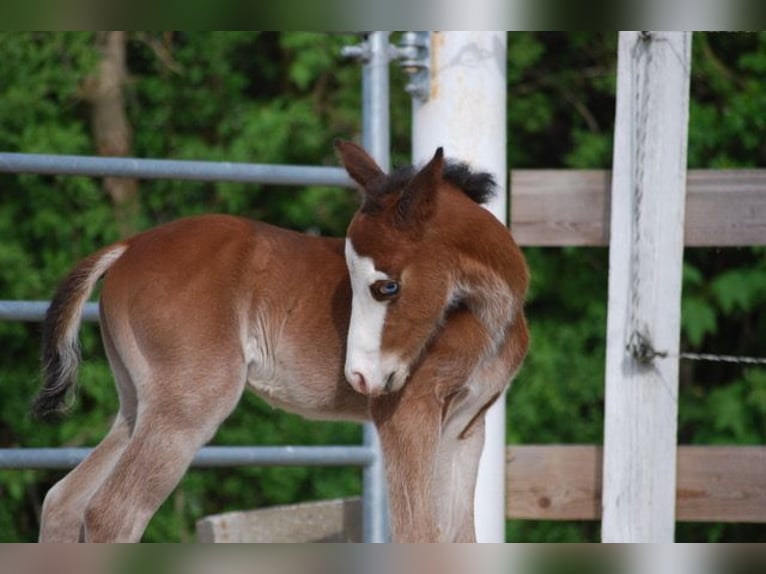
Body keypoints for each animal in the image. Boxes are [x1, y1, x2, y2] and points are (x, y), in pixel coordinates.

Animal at [33, 140, 529, 542]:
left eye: (386, 286)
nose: (360, 377)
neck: (488, 318)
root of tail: (129, 246)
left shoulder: (466, 426)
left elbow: (459, 536)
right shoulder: (406, 411)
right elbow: (419, 533)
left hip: (137, 406)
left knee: (63, 500)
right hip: (189, 405)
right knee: (112, 513)